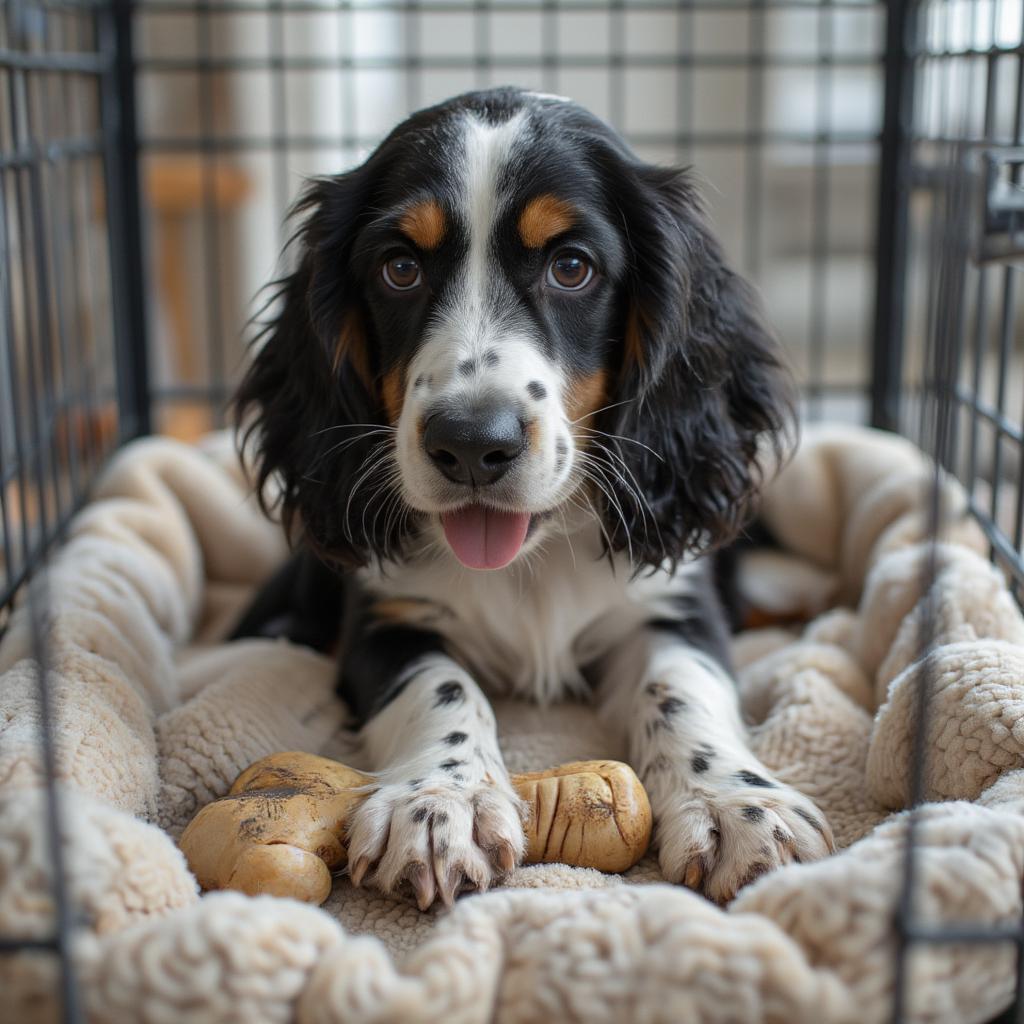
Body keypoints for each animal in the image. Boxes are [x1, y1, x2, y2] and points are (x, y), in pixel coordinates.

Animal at [235, 86, 835, 905]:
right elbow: (442, 686)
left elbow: (682, 688)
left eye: (572, 267)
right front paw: (442, 800)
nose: (469, 443)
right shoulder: (385, 620)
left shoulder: (673, 607)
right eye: (398, 269)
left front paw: (735, 806)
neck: (532, 562)